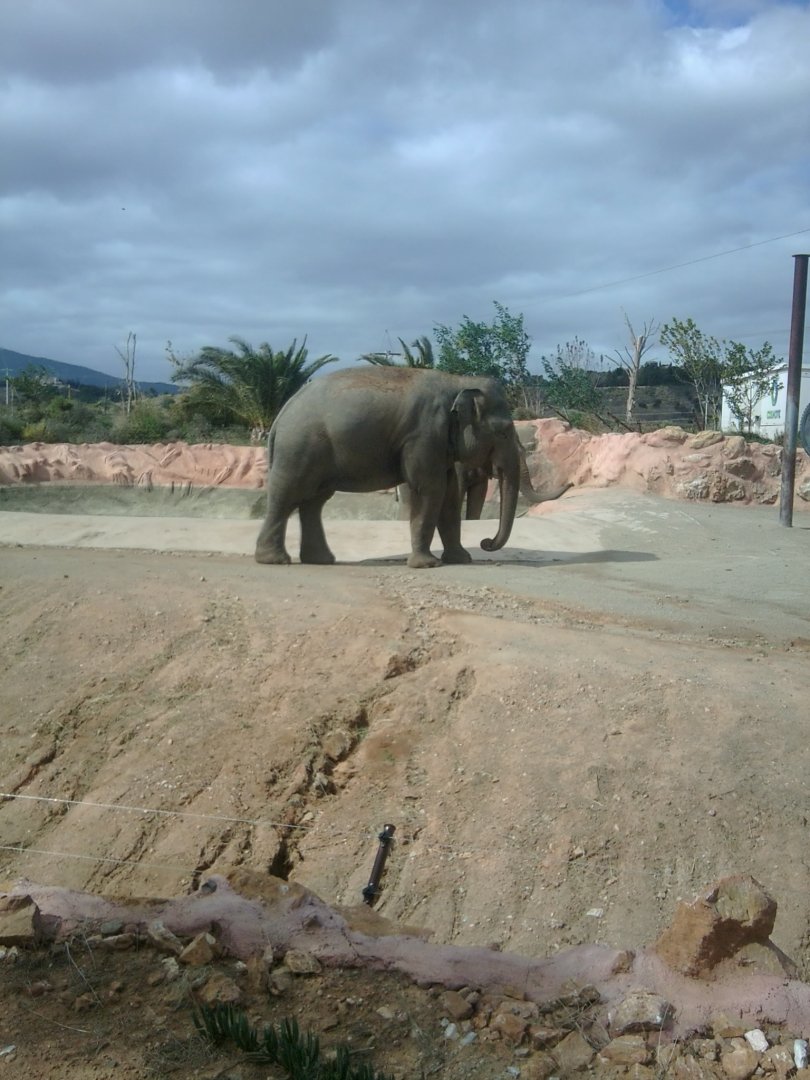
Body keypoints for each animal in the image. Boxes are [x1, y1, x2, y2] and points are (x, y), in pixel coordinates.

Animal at [254, 366, 524, 569]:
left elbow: (449, 496)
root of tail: (282, 414)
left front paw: (461, 560)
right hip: (299, 448)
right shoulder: (423, 435)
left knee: (314, 502)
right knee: (287, 495)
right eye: (504, 432)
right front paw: (427, 565)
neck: (458, 381)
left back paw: (320, 560)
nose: (486, 542)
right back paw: (274, 560)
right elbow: (429, 490)